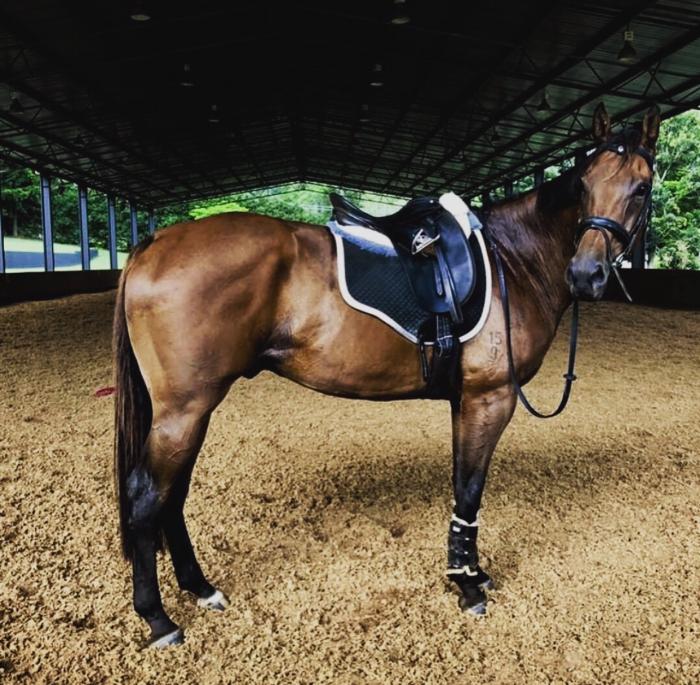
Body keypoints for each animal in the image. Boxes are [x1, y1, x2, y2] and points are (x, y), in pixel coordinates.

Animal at [113, 103, 660, 647]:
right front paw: (467, 588)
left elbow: (463, 483)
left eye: (641, 187)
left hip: (190, 410)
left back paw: (200, 588)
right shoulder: (490, 397)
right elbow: (470, 490)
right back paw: (158, 618)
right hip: (185, 410)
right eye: (584, 184)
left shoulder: (466, 399)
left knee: (173, 494)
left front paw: (472, 573)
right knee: (147, 496)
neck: (512, 260)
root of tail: (154, 242)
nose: (586, 274)